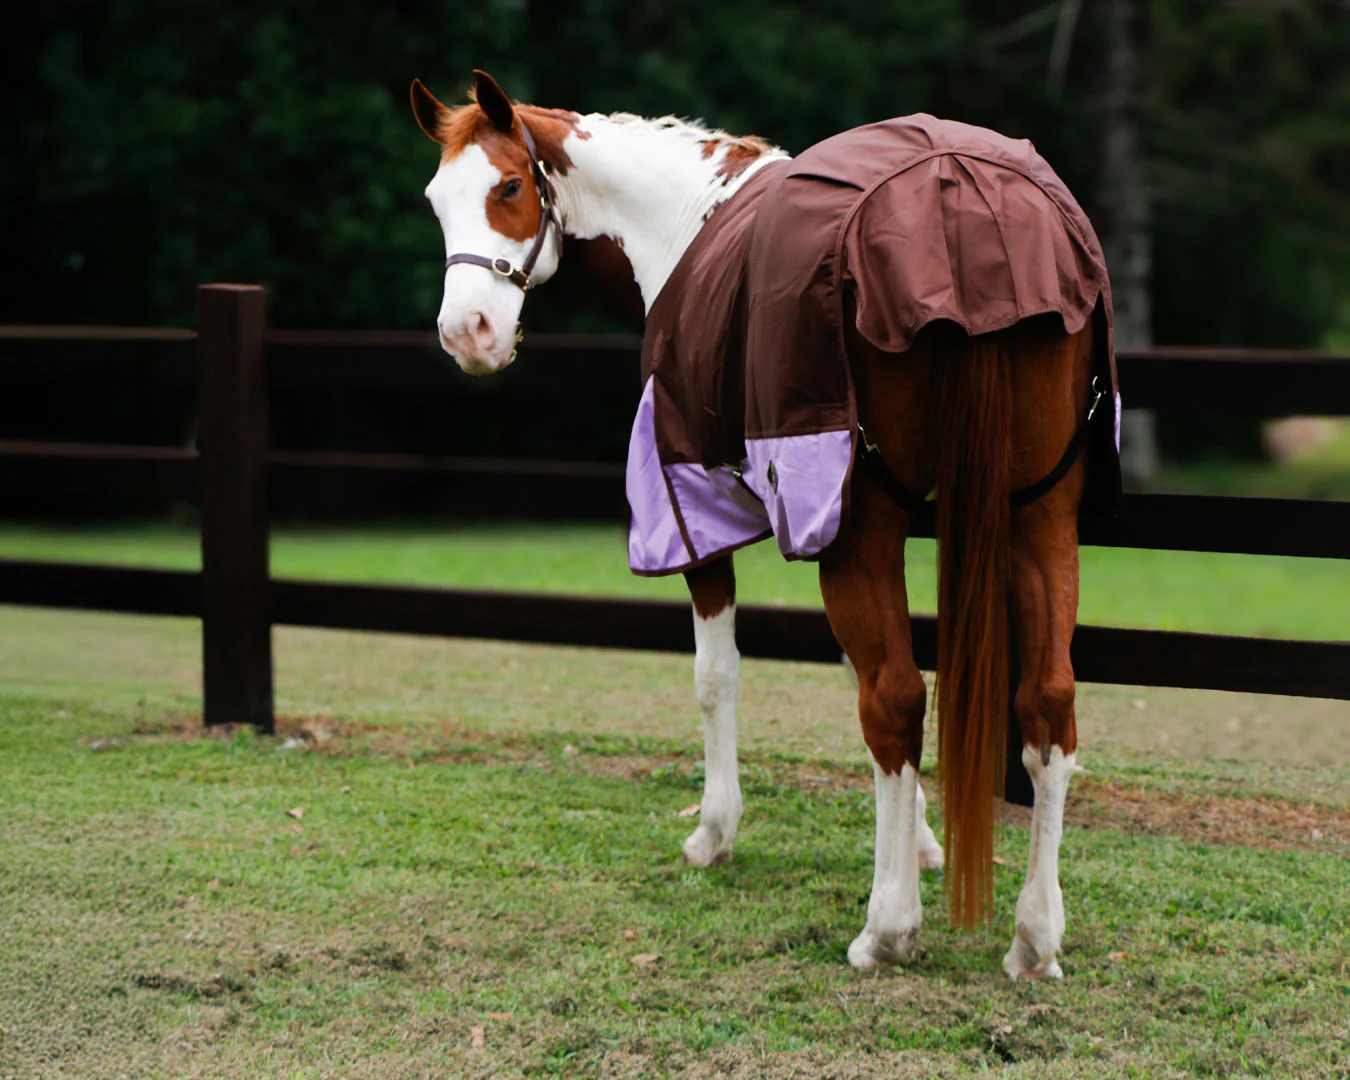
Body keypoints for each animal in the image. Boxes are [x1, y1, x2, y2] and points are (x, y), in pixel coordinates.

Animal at [410, 69, 1118, 979]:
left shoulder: (697, 507)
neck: (686, 221)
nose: (467, 335)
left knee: (895, 699)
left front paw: (715, 832)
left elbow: (718, 676)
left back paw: (887, 928)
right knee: (1045, 704)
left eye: (506, 187)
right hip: (1037, 517)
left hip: (866, 527)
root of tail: (965, 208)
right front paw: (925, 839)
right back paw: (1034, 934)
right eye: (436, 201)